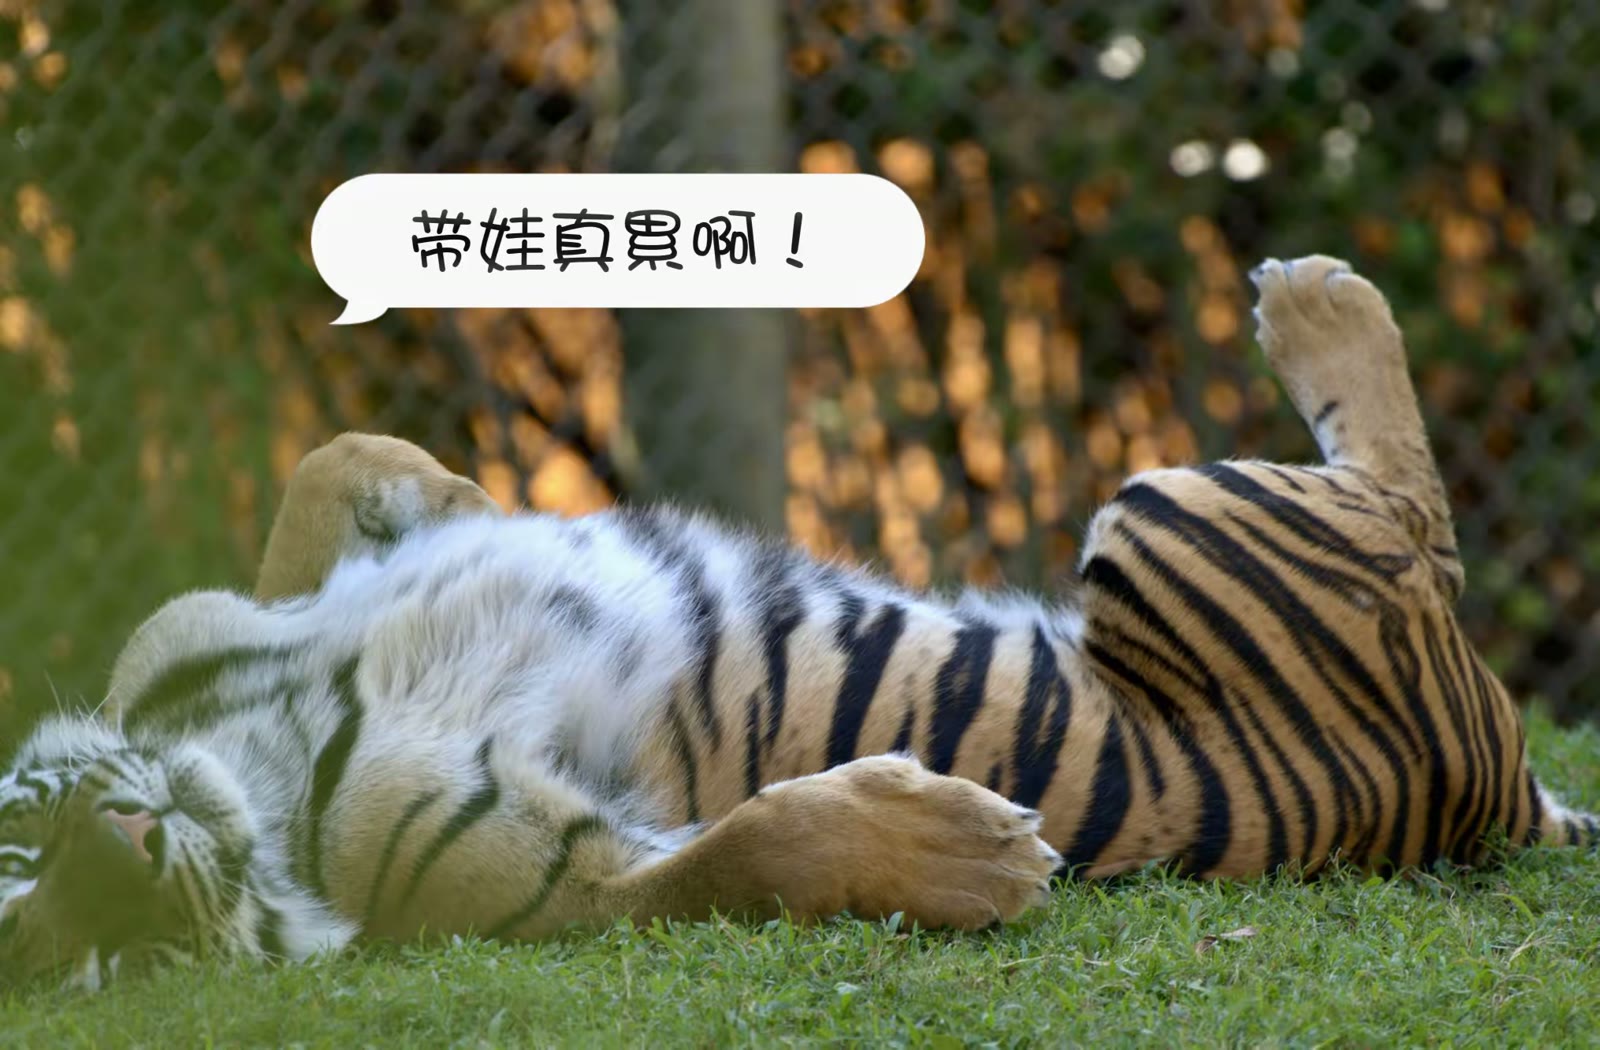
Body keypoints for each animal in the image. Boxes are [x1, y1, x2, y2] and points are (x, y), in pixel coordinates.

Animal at [1, 255, 1595, 991]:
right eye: (87, 957)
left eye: (13, 843)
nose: (122, 850)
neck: (244, 752)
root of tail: (1503, 797)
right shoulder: (568, 885)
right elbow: (744, 851)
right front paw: (971, 854)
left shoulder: (202, 622)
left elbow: (321, 476)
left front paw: (455, 491)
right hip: (1177, 516)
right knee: (1414, 520)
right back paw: (1319, 303)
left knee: (1420, 506)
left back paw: (1312, 294)